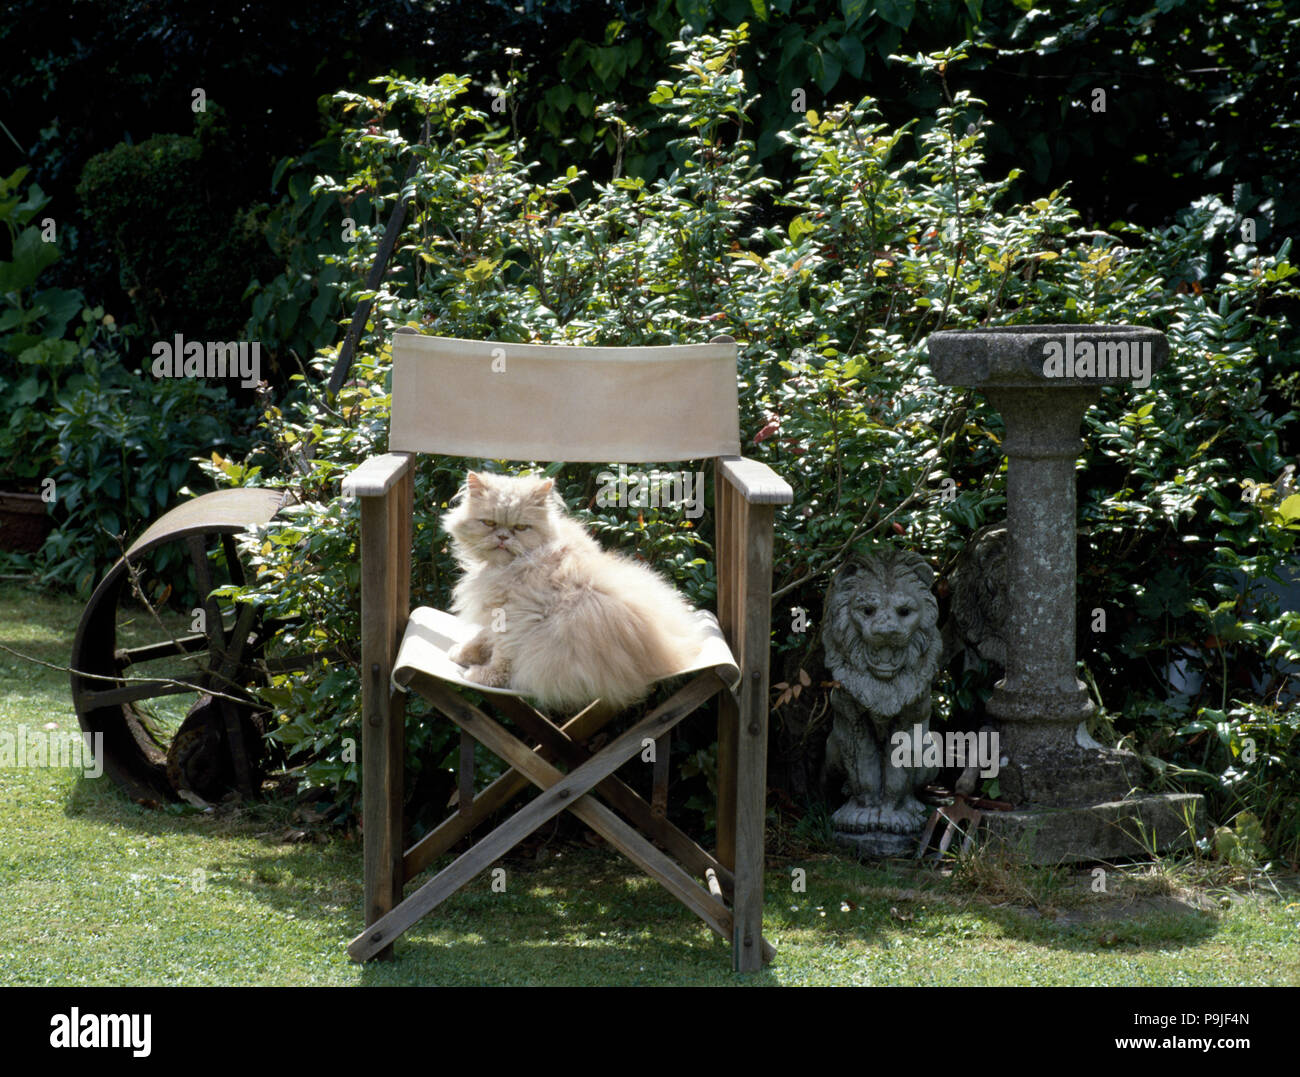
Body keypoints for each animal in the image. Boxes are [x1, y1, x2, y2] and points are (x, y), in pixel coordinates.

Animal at [441, 468, 707, 707]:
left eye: (521, 528)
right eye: (489, 523)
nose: (503, 538)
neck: (508, 567)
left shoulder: (517, 615)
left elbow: (501, 657)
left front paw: (479, 675)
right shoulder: (496, 612)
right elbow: (481, 638)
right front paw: (462, 653)